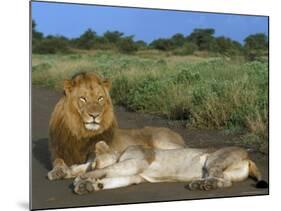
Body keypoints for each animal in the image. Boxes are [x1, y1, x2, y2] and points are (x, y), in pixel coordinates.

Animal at [47, 72, 184, 180]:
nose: (95, 115)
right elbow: (59, 162)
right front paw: (59, 172)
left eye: (100, 98)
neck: (82, 133)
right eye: (83, 99)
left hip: (161, 141)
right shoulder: (59, 152)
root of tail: (176, 134)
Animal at [72, 140, 266, 195]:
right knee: (225, 180)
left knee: (223, 180)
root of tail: (248, 157)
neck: (120, 152)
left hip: (214, 159)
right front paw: (90, 186)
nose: (86, 170)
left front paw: (80, 180)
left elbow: (105, 170)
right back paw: (201, 184)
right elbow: (111, 180)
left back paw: (203, 185)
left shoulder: (135, 163)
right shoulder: (135, 176)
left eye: (93, 163)